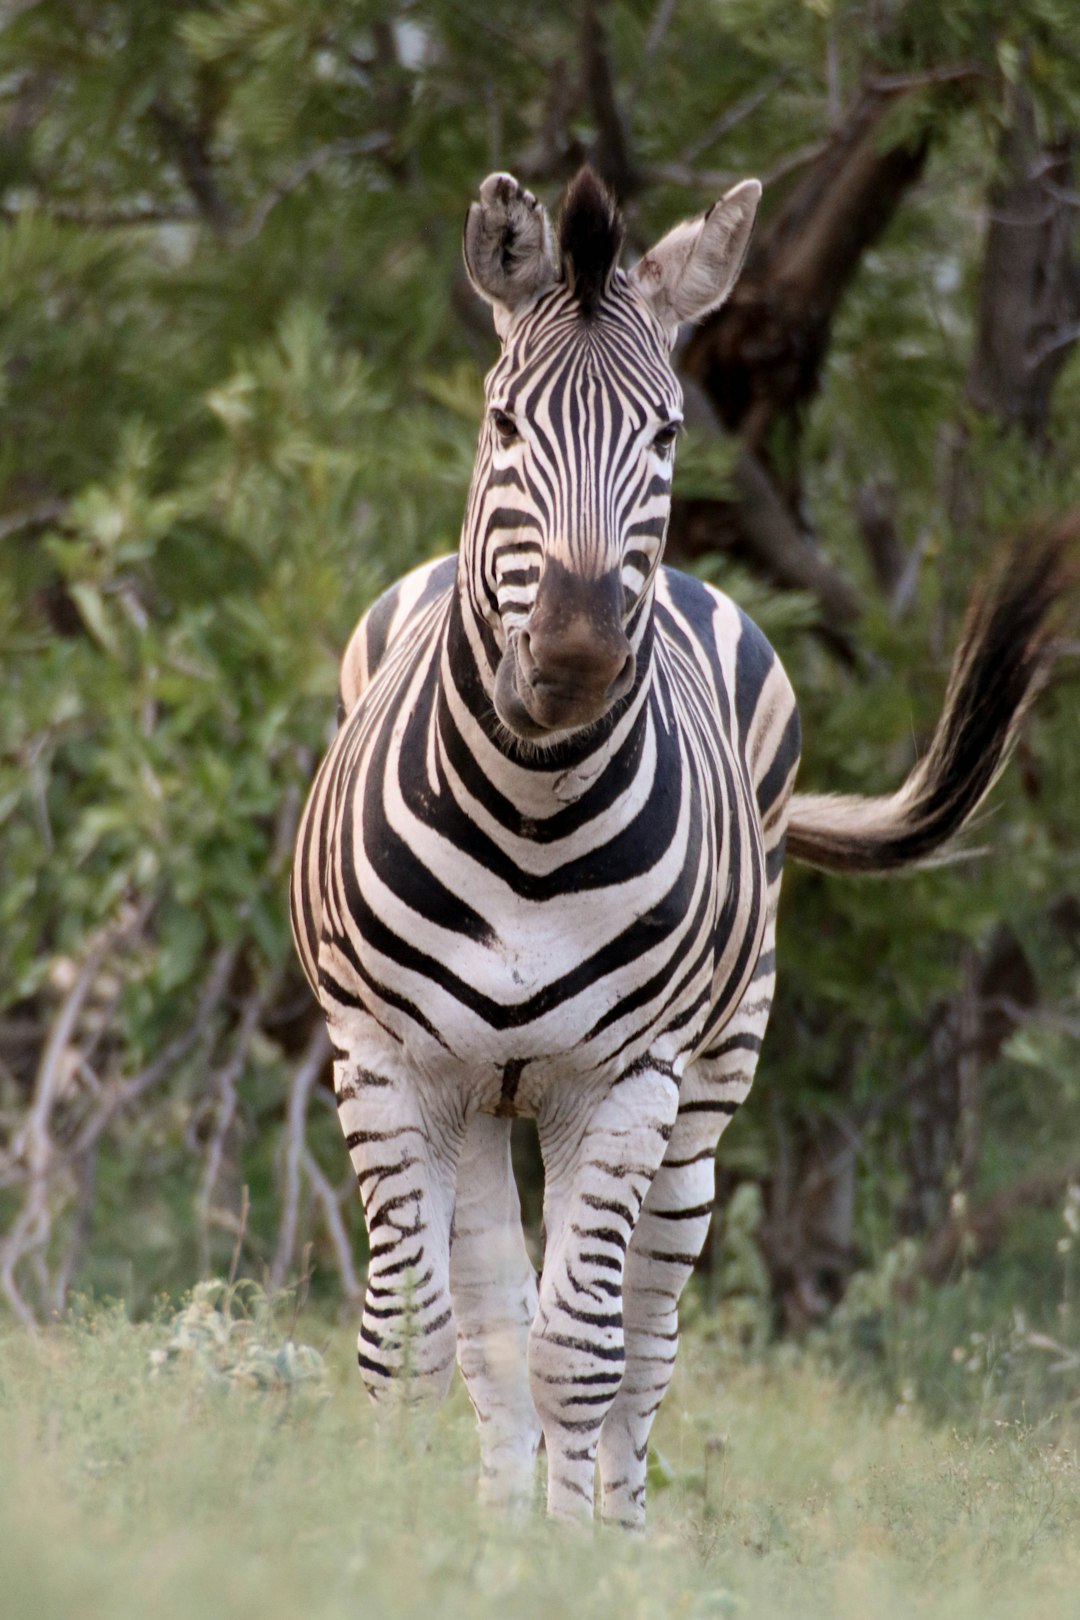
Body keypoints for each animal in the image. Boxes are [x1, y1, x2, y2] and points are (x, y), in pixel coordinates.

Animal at [291, 170, 1068, 1522]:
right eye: (503, 422)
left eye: (665, 436)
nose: (575, 652)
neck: (527, 813)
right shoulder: (384, 1059)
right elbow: (413, 1340)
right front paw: (396, 1537)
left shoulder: (627, 1082)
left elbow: (584, 1353)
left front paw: (567, 1554)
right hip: (477, 1092)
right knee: (490, 1317)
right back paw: (497, 1522)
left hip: (704, 1087)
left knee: (642, 1334)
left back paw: (609, 1527)